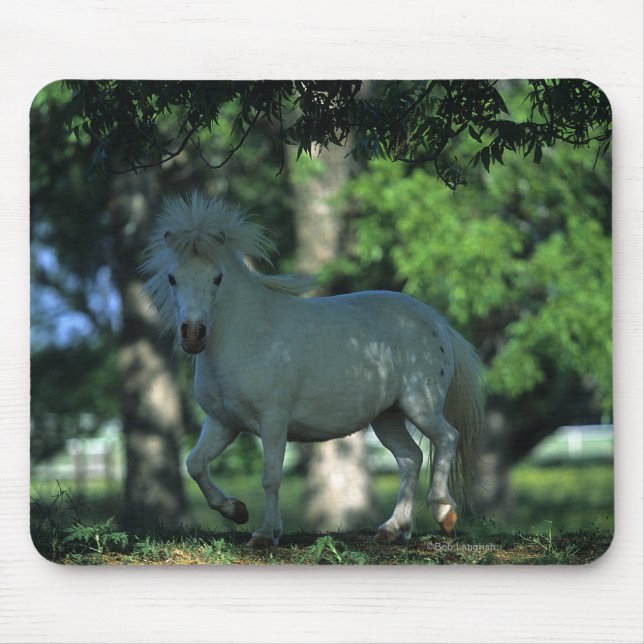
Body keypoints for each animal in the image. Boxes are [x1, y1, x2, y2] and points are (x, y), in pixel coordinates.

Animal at [142, 192, 485, 548]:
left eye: (217, 277)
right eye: (172, 278)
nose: (193, 335)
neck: (248, 332)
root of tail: (437, 321)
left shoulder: (273, 421)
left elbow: (270, 477)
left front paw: (265, 533)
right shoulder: (223, 423)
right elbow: (194, 464)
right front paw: (236, 511)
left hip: (420, 405)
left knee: (446, 438)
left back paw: (444, 513)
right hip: (387, 417)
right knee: (410, 458)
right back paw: (392, 528)